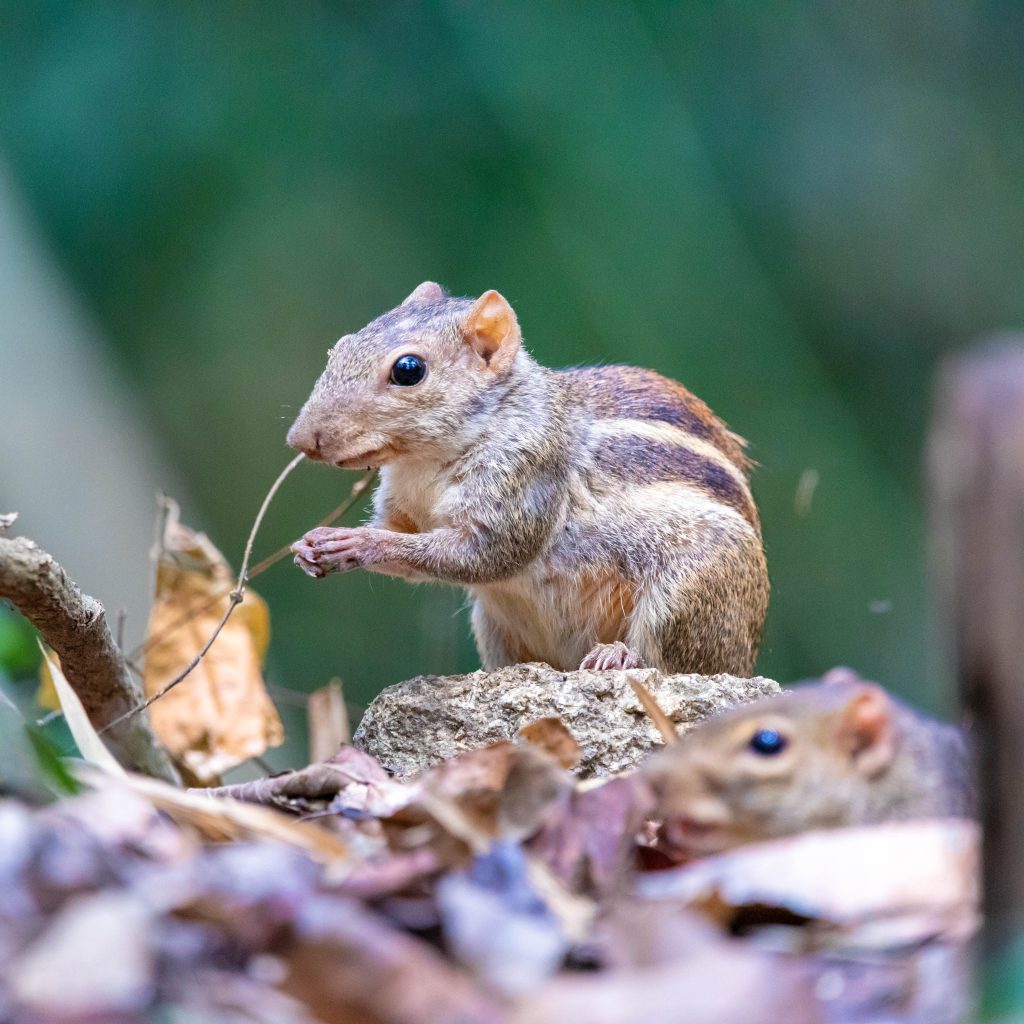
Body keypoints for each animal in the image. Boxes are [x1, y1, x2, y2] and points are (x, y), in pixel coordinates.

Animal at [288, 284, 770, 675]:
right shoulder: (403, 509)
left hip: (691, 590)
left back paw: (619, 656)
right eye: (339, 348)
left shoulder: (523, 484)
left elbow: (482, 556)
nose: (299, 439)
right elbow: (402, 538)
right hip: (492, 625)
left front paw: (357, 542)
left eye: (408, 369)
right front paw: (313, 546)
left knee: (670, 662)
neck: (424, 464)